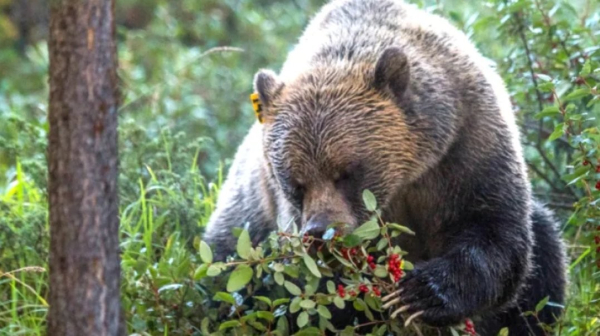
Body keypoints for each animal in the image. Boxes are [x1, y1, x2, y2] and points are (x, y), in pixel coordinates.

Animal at [204, 0, 564, 334]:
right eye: (295, 183)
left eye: (346, 173)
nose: (320, 232)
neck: (407, 176)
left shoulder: (466, 145)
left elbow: (495, 232)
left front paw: (420, 294)